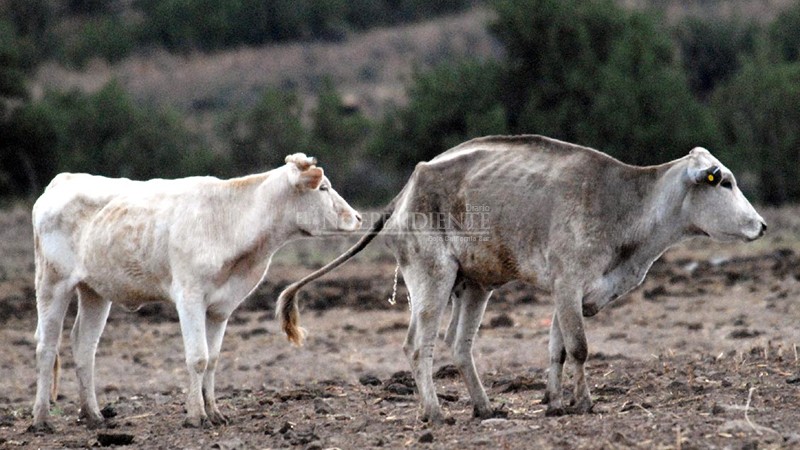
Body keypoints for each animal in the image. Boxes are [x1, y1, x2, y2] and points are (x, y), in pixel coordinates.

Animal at [28, 155, 360, 432]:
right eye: (324, 188)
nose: (357, 217)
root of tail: (64, 179)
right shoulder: (189, 297)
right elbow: (197, 357)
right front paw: (196, 415)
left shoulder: (221, 308)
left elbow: (212, 359)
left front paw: (214, 412)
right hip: (52, 283)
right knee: (46, 347)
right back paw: (42, 419)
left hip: (95, 291)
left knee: (84, 347)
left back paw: (93, 415)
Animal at [276, 134, 768, 422]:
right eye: (723, 181)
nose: (761, 225)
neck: (623, 204)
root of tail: (405, 190)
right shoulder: (568, 284)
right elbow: (579, 348)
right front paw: (584, 403)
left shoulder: (567, 294)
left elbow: (557, 349)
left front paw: (554, 402)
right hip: (431, 278)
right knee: (418, 345)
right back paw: (435, 414)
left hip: (474, 286)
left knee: (459, 344)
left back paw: (484, 407)